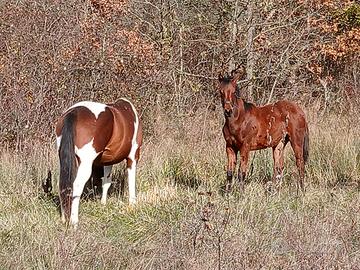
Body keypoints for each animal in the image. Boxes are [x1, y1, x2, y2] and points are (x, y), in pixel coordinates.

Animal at [54, 98, 142, 227]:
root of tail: (74, 112)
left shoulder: (108, 161)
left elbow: (106, 182)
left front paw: (103, 204)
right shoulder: (133, 157)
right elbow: (131, 181)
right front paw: (133, 205)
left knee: (63, 185)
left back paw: (64, 218)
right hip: (86, 163)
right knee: (76, 186)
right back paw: (74, 222)